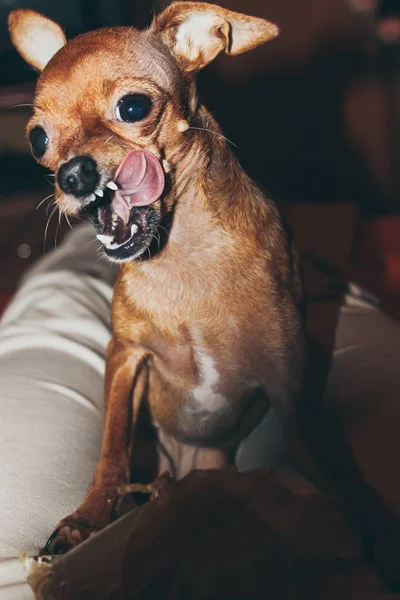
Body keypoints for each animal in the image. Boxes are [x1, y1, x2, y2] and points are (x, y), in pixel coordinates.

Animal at [7, 0, 400, 584]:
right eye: (38, 139)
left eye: (132, 106)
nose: (73, 175)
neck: (183, 260)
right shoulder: (124, 356)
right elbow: (112, 448)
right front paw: (87, 517)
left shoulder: (290, 398)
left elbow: (333, 473)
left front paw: (373, 531)